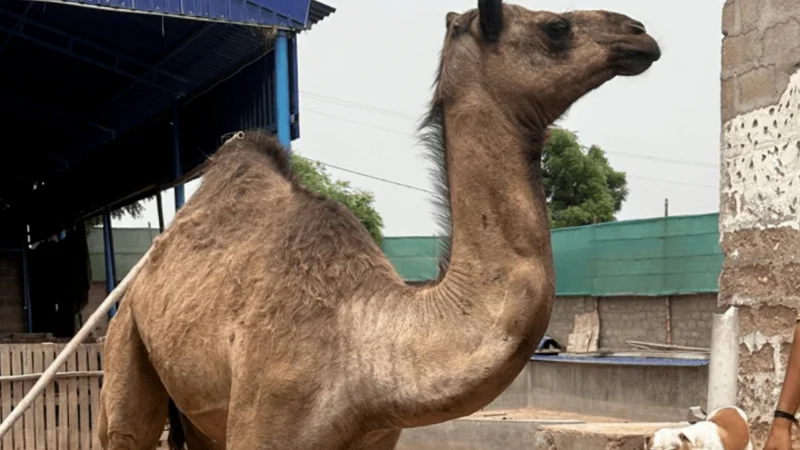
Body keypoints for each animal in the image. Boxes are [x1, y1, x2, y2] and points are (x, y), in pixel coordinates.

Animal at [96, 1, 661, 449]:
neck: (368, 347)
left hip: (200, 411)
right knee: (124, 429)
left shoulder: (376, 437)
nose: (640, 33)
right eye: (556, 27)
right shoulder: (264, 421)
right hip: (126, 341)